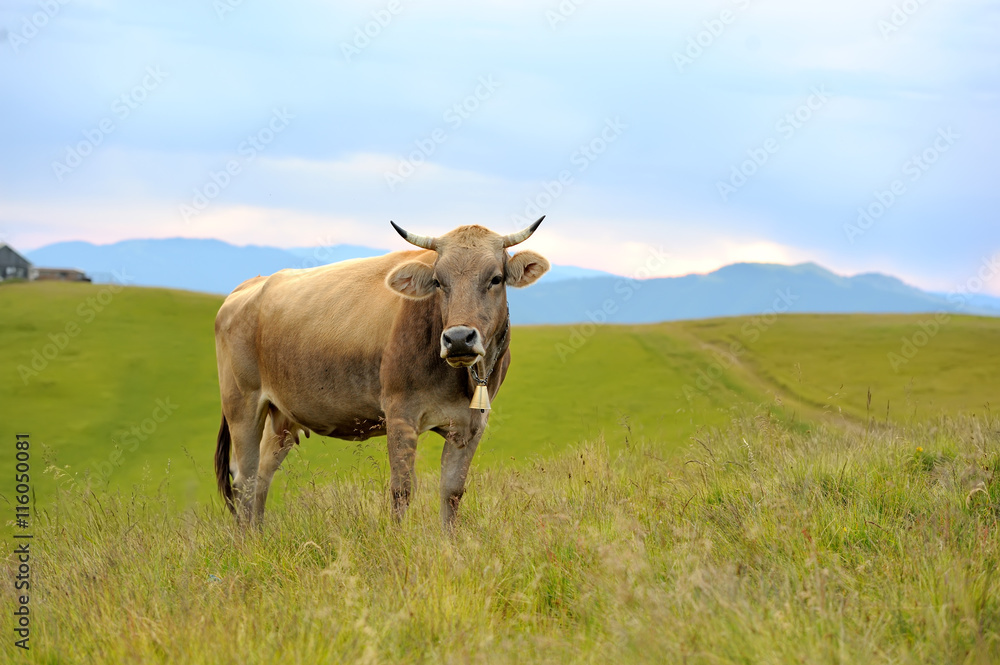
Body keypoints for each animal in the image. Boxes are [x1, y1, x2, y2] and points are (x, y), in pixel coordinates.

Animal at [214, 220, 552, 528]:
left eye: (496, 278)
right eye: (438, 281)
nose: (458, 338)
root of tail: (248, 287)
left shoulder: (471, 424)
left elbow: (452, 491)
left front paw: (449, 544)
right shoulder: (400, 414)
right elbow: (402, 490)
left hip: (281, 417)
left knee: (261, 476)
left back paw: (258, 537)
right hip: (242, 406)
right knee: (244, 479)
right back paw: (247, 545)